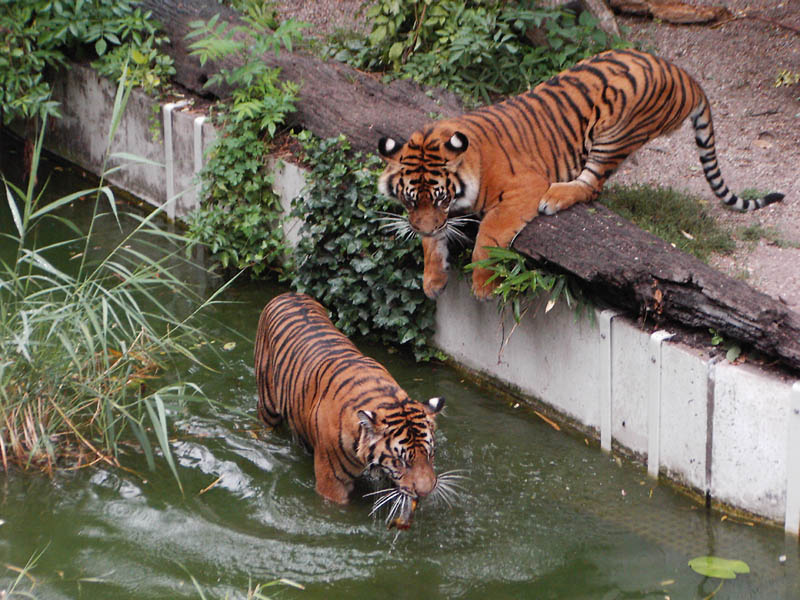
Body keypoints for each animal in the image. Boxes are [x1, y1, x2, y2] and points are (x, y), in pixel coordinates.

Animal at [256, 292, 456, 528]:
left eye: (431, 454)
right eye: (400, 462)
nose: (425, 493)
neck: (385, 398)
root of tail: (289, 293)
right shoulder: (332, 483)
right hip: (268, 404)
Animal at [378, 47, 784, 300]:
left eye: (441, 197)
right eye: (410, 200)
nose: (424, 225)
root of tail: (683, 74)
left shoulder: (522, 188)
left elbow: (488, 237)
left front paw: (483, 285)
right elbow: (433, 243)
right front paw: (433, 278)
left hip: (615, 130)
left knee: (592, 186)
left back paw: (556, 197)